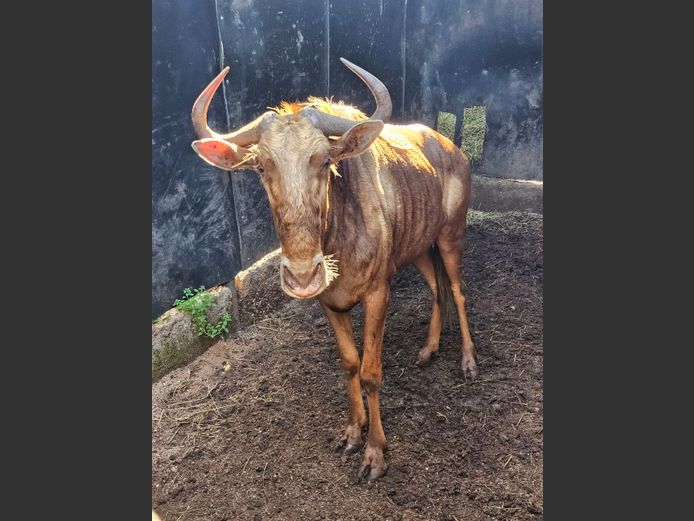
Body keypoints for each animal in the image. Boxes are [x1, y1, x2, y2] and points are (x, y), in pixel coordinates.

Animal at [191, 58, 477, 481]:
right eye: (261, 166)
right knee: (436, 289)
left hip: (450, 237)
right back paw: (428, 350)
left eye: (325, 161)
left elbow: (371, 372)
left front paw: (375, 453)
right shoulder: (329, 302)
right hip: (420, 248)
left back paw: (469, 362)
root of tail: (453, 150)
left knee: (457, 291)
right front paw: (353, 432)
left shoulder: (378, 293)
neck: (340, 236)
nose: (301, 276)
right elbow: (349, 364)